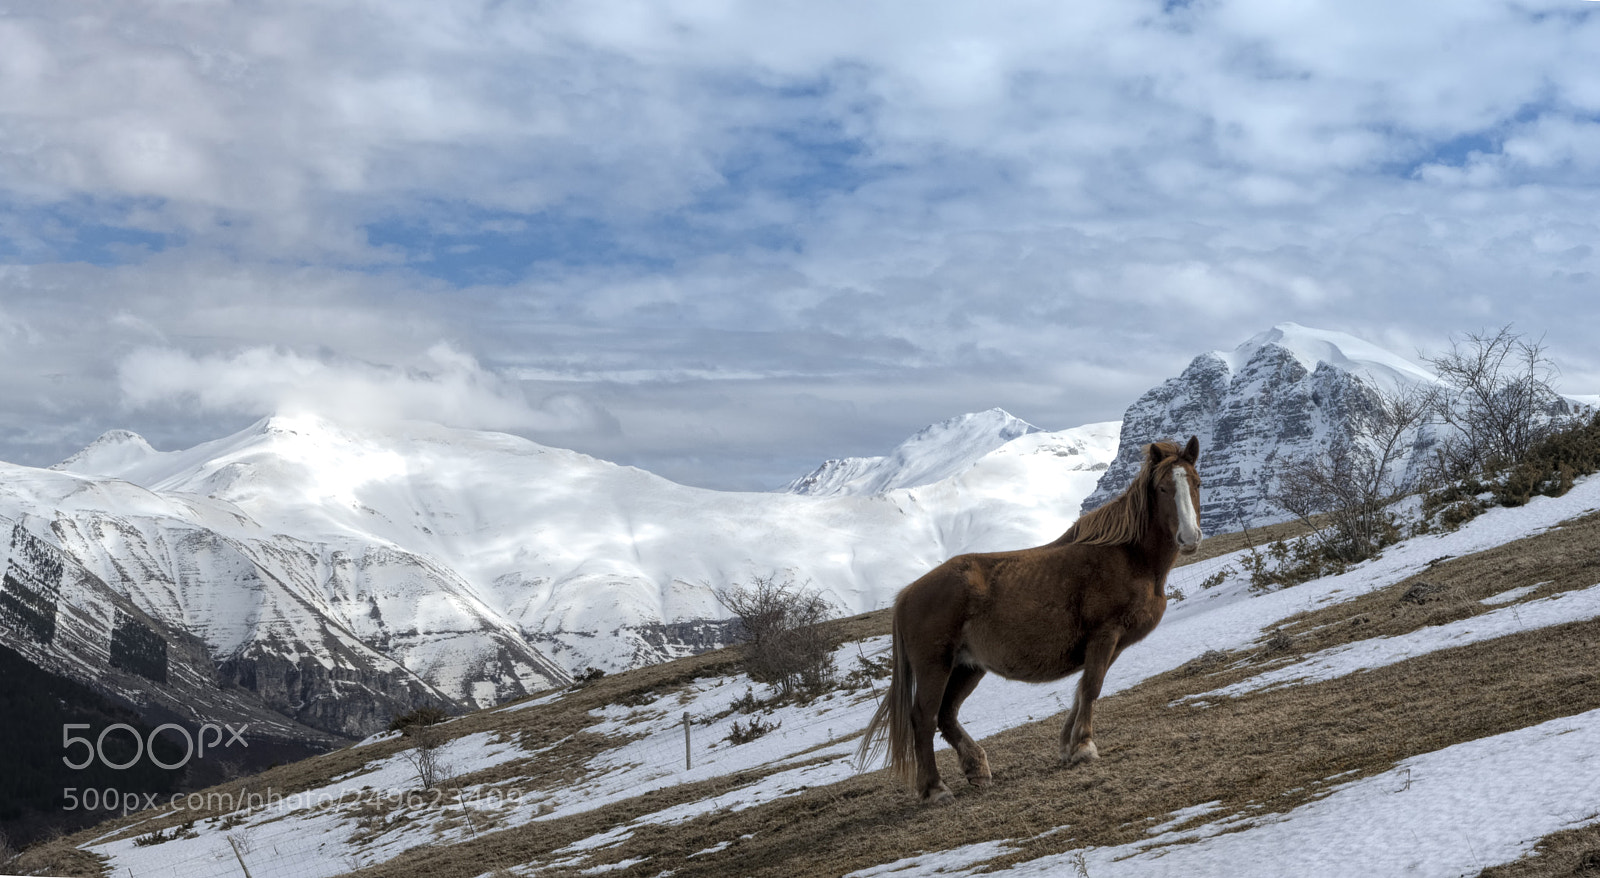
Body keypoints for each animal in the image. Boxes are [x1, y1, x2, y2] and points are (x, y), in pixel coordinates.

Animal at [856, 436, 1202, 805]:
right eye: (1163, 488)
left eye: (1195, 483)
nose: (1189, 538)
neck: (1127, 557)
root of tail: (907, 593)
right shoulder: (1104, 635)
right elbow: (1092, 687)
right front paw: (1084, 747)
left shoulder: (1113, 645)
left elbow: (1082, 689)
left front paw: (1068, 747)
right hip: (935, 666)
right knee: (923, 717)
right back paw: (935, 789)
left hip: (967, 666)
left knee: (947, 715)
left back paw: (977, 769)